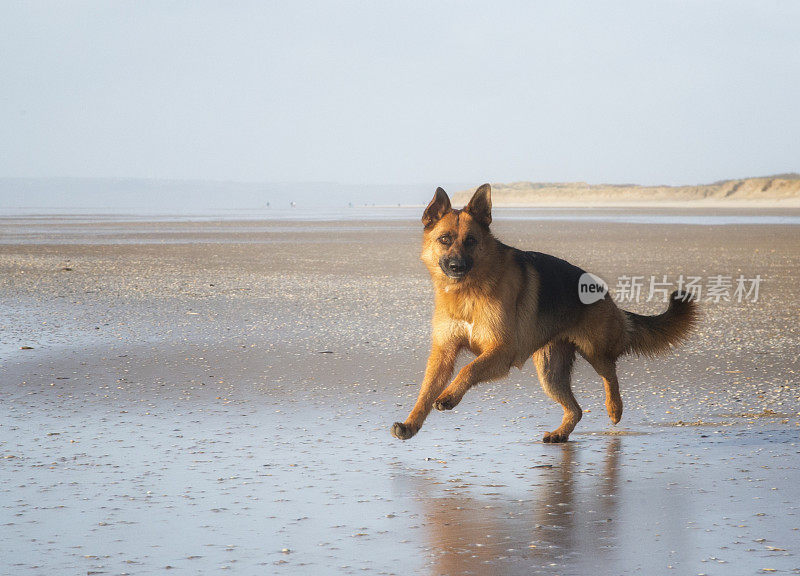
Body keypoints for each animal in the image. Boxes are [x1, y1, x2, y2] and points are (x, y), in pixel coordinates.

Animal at [390, 184, 696, 440]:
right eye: (444, 239)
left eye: (471, 241)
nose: (456, 267)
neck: (468, 292)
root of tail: (605, 293)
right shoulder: (443, 353)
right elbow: (426, 391)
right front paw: (411, 423)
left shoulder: (501, 351)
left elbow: (468, 369)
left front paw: (449, 397)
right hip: (550, 374)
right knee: (576, 409)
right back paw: (561, 433)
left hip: (594, 351)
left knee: (610, 373)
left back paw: (614, 408)